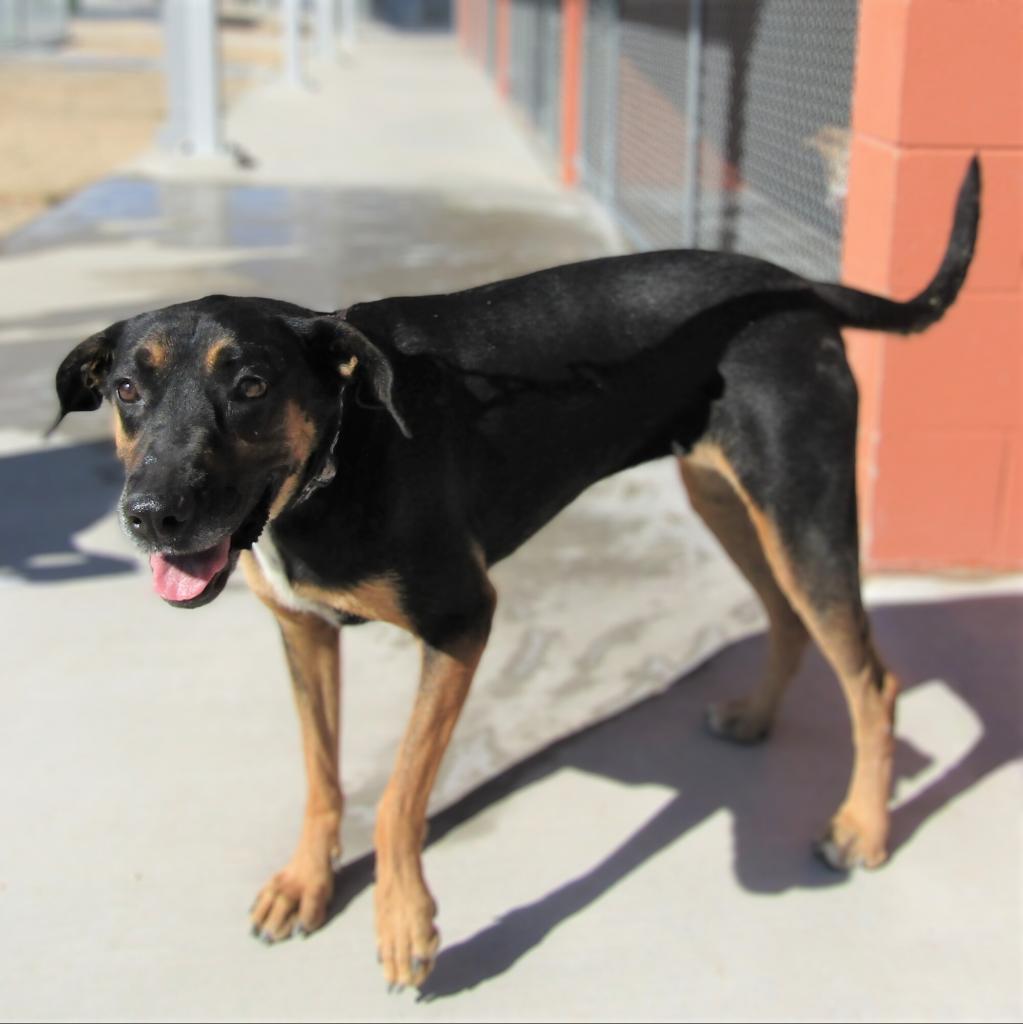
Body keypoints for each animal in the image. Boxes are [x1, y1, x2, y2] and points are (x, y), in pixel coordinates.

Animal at [51, 157, 978, 983]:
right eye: (127, 389)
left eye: (248, 384)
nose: (150, 516)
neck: (344, 450)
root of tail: (795, 284)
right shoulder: (303, 631)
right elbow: (321, 774)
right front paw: (306, 882)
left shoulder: (461, 622)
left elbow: (397, 797)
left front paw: (403, 923)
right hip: (726, 498)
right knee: (786, 618)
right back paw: (755, 718)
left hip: (801, 511)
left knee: (870, 679)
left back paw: (861, 828)